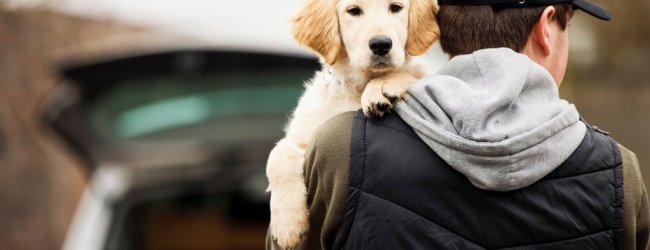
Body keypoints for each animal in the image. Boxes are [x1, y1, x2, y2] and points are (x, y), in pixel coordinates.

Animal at [266, 0, 438, 247]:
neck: (358, 86)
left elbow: (412, 75)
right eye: (354, 11)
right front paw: (287, 225)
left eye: (396, 8)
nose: (381, 44)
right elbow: (277, 155)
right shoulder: (306, 134)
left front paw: (382, 87)